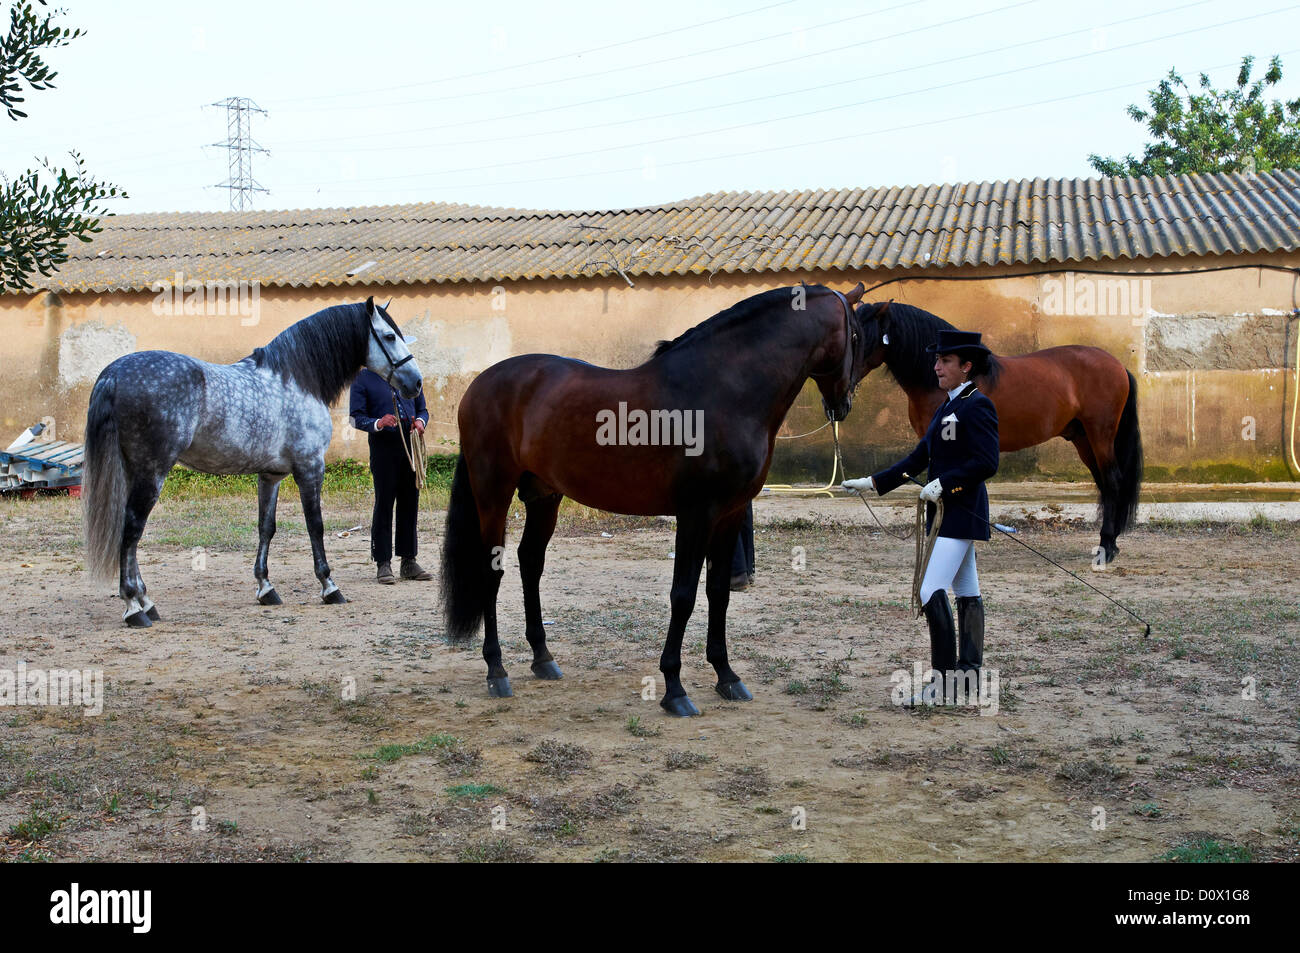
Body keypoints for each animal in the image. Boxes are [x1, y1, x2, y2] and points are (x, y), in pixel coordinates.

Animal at [83, 297, 423, 627]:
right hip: (152, 473)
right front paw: (329, 587)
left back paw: (146, 603)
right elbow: (315, 526)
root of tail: (113, 374)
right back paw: (133, 607)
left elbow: (266, 527)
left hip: (133, 472)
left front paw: (265, 588)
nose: (416, 383)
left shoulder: (270, 476)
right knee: (131, 530)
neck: (297, 379)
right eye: (389, 336)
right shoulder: (310, 468)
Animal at [441, 282, 869, 716]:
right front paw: (674, 690)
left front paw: (727, 677)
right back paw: (496, 670)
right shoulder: (697, 514)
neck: (724, 390)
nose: (844, 403)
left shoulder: (729, 514)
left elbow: (718, 593)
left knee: (531, 562)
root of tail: (479, 384)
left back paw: (543, 658)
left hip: (544, 496)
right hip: (493, 493)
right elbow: (683, 596)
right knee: (491, 570)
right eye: (856, 335)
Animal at [855, 300, 1142, 562]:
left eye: (862, 335)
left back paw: (1106, 548)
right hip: (1082, 438)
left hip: (1100, 434)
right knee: (1104, 483)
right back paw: (1112, 543)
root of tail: (1118, 366)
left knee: (1112, 481)